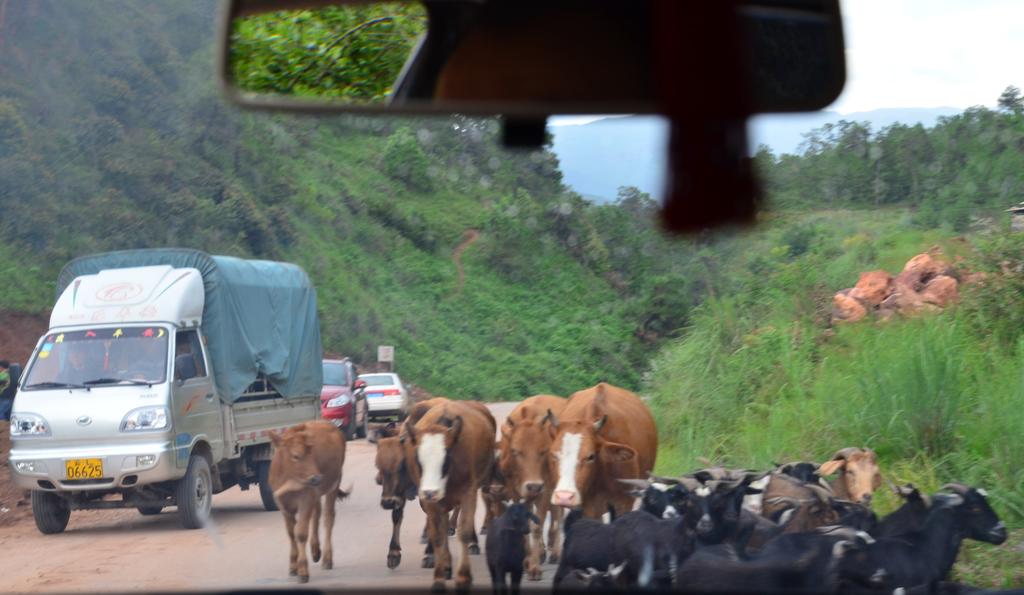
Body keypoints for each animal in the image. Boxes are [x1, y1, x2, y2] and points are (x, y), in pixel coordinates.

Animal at [270, 419, 350, 581]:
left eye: (311, 453)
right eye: (295, 456)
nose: (317, 478)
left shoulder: (306, 499)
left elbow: (300, 533)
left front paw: (302, 570)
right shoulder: (282, 504)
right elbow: (291, 533)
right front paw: (293, 566)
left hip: (334, 484)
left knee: (328, 518)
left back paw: (327, 558)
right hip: (316, 494)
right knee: (316, 514)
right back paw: (315, 550)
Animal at [399, 399, 495, 589]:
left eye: (447, 457)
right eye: (417, 458)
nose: (430, 491)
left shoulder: (468, 493)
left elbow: (463, 532)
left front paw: (464, 577)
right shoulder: (431, 502)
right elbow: (437, 535)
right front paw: (439, 577)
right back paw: (447, 565)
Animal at [495, 391, 569, 577]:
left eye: (543, 451)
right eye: (515, 451)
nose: (533, 486)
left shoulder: (544, 491)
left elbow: (537, 527)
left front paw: (534, 567)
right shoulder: (515, 492)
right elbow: (524, 524)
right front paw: (527, 561)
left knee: (558, 515)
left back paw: (555, 552)